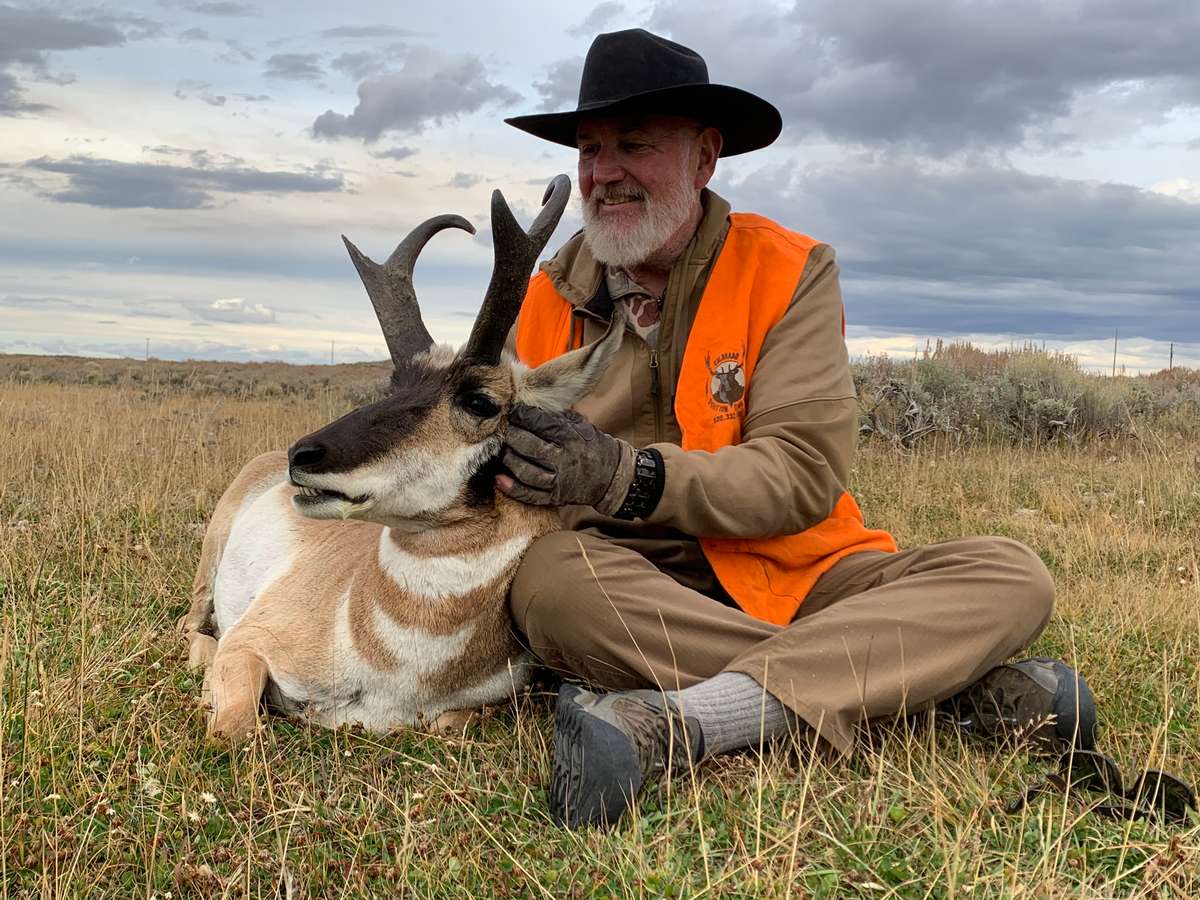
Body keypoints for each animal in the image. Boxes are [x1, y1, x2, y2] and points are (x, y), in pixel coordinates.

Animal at [178, 176, 624, 742]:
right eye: (394, 384)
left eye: (480, 401)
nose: (303, 455)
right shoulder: (247, 646)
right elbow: (236, 728)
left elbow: (450, 723)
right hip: (209, 564)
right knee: (190, 624)